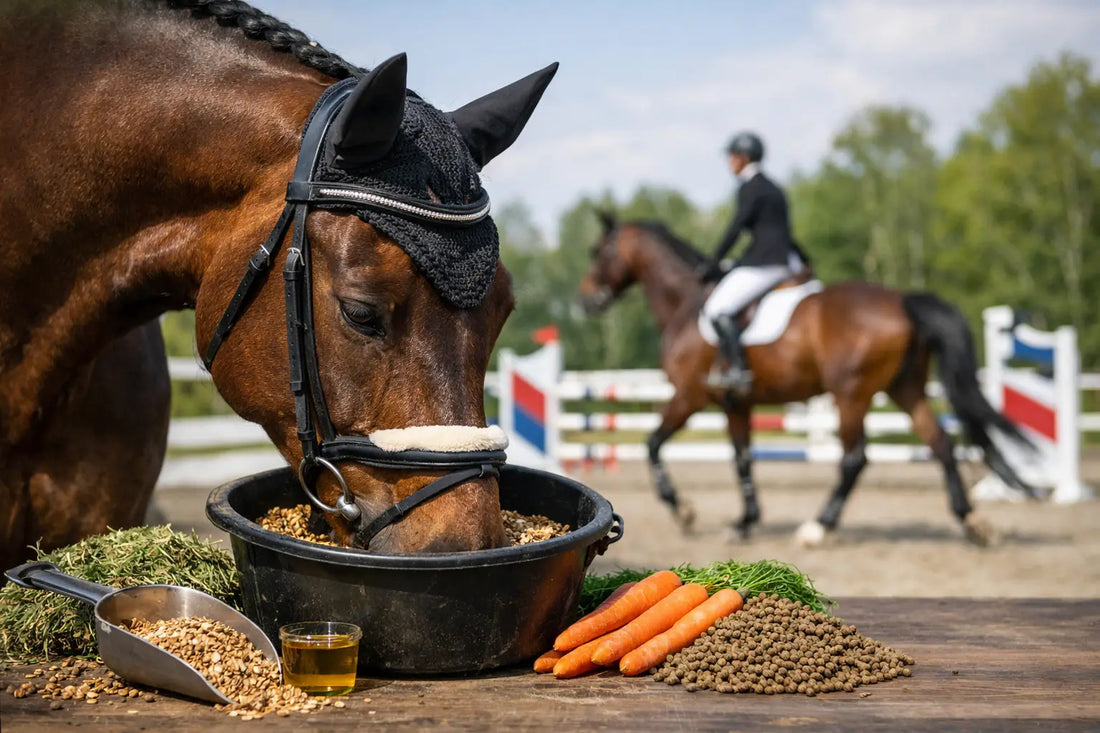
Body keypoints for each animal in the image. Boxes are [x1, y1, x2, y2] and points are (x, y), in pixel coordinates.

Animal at [577, 213, 1037, 546]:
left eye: (599, 251)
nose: (587, 299)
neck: (686, 303)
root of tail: (901, 300)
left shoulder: (690, 396)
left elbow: (653, 444)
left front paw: (683, 510)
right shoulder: (736, 403)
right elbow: (742, 459)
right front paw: (745, 522)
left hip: (851, 394)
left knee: (855, 458)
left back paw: (819, 527)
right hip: (905, 389)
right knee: (941, 444)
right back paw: (974, 523)